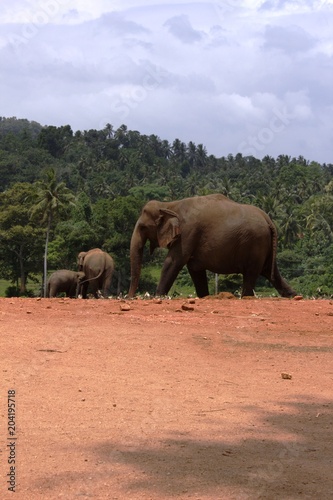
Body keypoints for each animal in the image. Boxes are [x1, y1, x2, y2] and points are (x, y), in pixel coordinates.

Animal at [127, 193, 296, 298]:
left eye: (142, 227)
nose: (130, 297)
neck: (170, 204)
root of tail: (268, 220)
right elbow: (195, 269)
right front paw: (204, 296)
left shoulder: (188, 232)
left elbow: (174, 262)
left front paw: (158, 296)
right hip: (263, 245)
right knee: (269, 272)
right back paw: (294, 296)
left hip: (256, 243)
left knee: (251, 274)